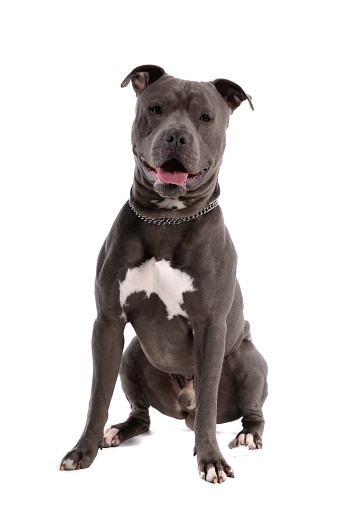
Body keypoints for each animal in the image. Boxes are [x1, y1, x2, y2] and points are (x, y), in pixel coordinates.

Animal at [60, 65, 268, 482]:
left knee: (249, 411)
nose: (175, 135)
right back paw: (118, 431)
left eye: (205, 117)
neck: (167, 219)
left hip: (249, 359)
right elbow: (97, 395)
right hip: (132, 355)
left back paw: (247, 435)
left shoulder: (210, 327)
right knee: (142, 416)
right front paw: (83, 451)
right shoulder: (108, 322)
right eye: (156, 109)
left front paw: (210, 459)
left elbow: (208, 402)